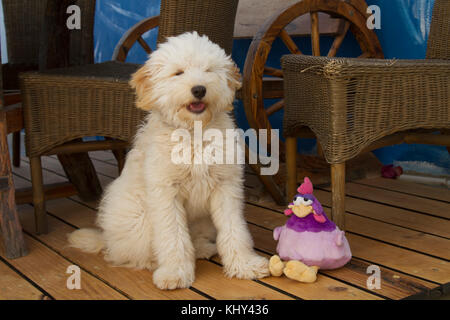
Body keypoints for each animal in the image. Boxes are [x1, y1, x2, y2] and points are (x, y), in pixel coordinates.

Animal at [68, 31, 268, 290]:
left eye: (208, 70)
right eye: (178, 73)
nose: (199, 89)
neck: (193, 133)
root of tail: (108, 240)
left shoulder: (225, 187)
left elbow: (235, 230)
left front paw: (244, 264)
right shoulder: (165, 194)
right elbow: (173, 237)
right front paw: (175, 272)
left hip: (202, 220)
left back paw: (202, 248)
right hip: (140, 221)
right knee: (133, 254)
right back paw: (156, 262)